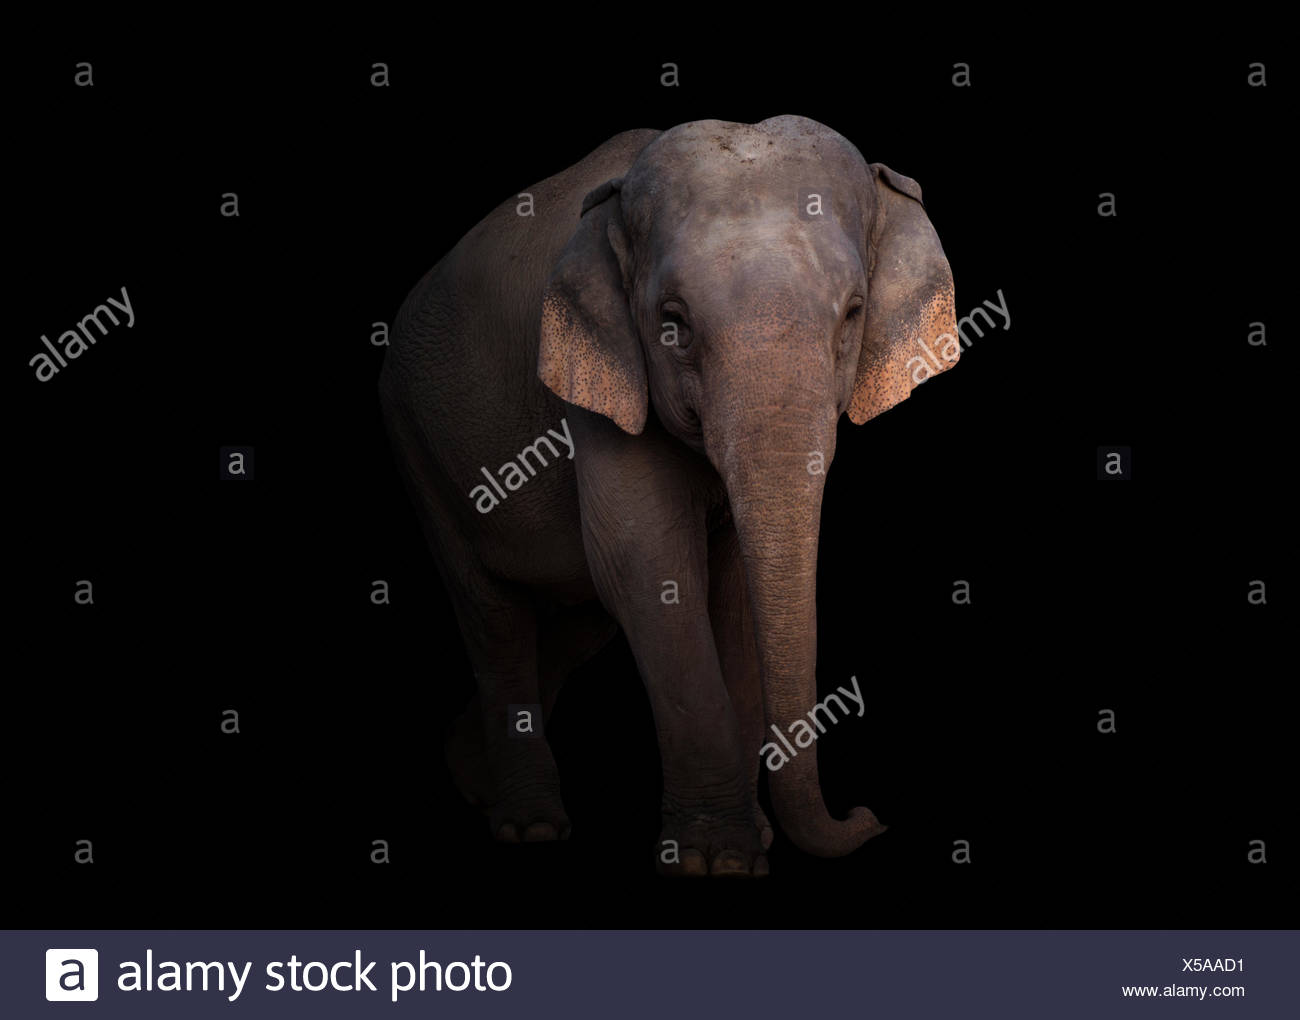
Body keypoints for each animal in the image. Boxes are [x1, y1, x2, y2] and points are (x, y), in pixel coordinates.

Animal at [378, 115, 959, 877]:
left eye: (853, 314)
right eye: (672, 322)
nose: (868, 817)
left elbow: (731, 590)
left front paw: (752, 841)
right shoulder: (597, 385)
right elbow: (647, 565)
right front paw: (718, 861)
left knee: (579, 611)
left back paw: (469, 771)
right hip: (416, 444)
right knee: (493, 612)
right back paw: (529, 825)